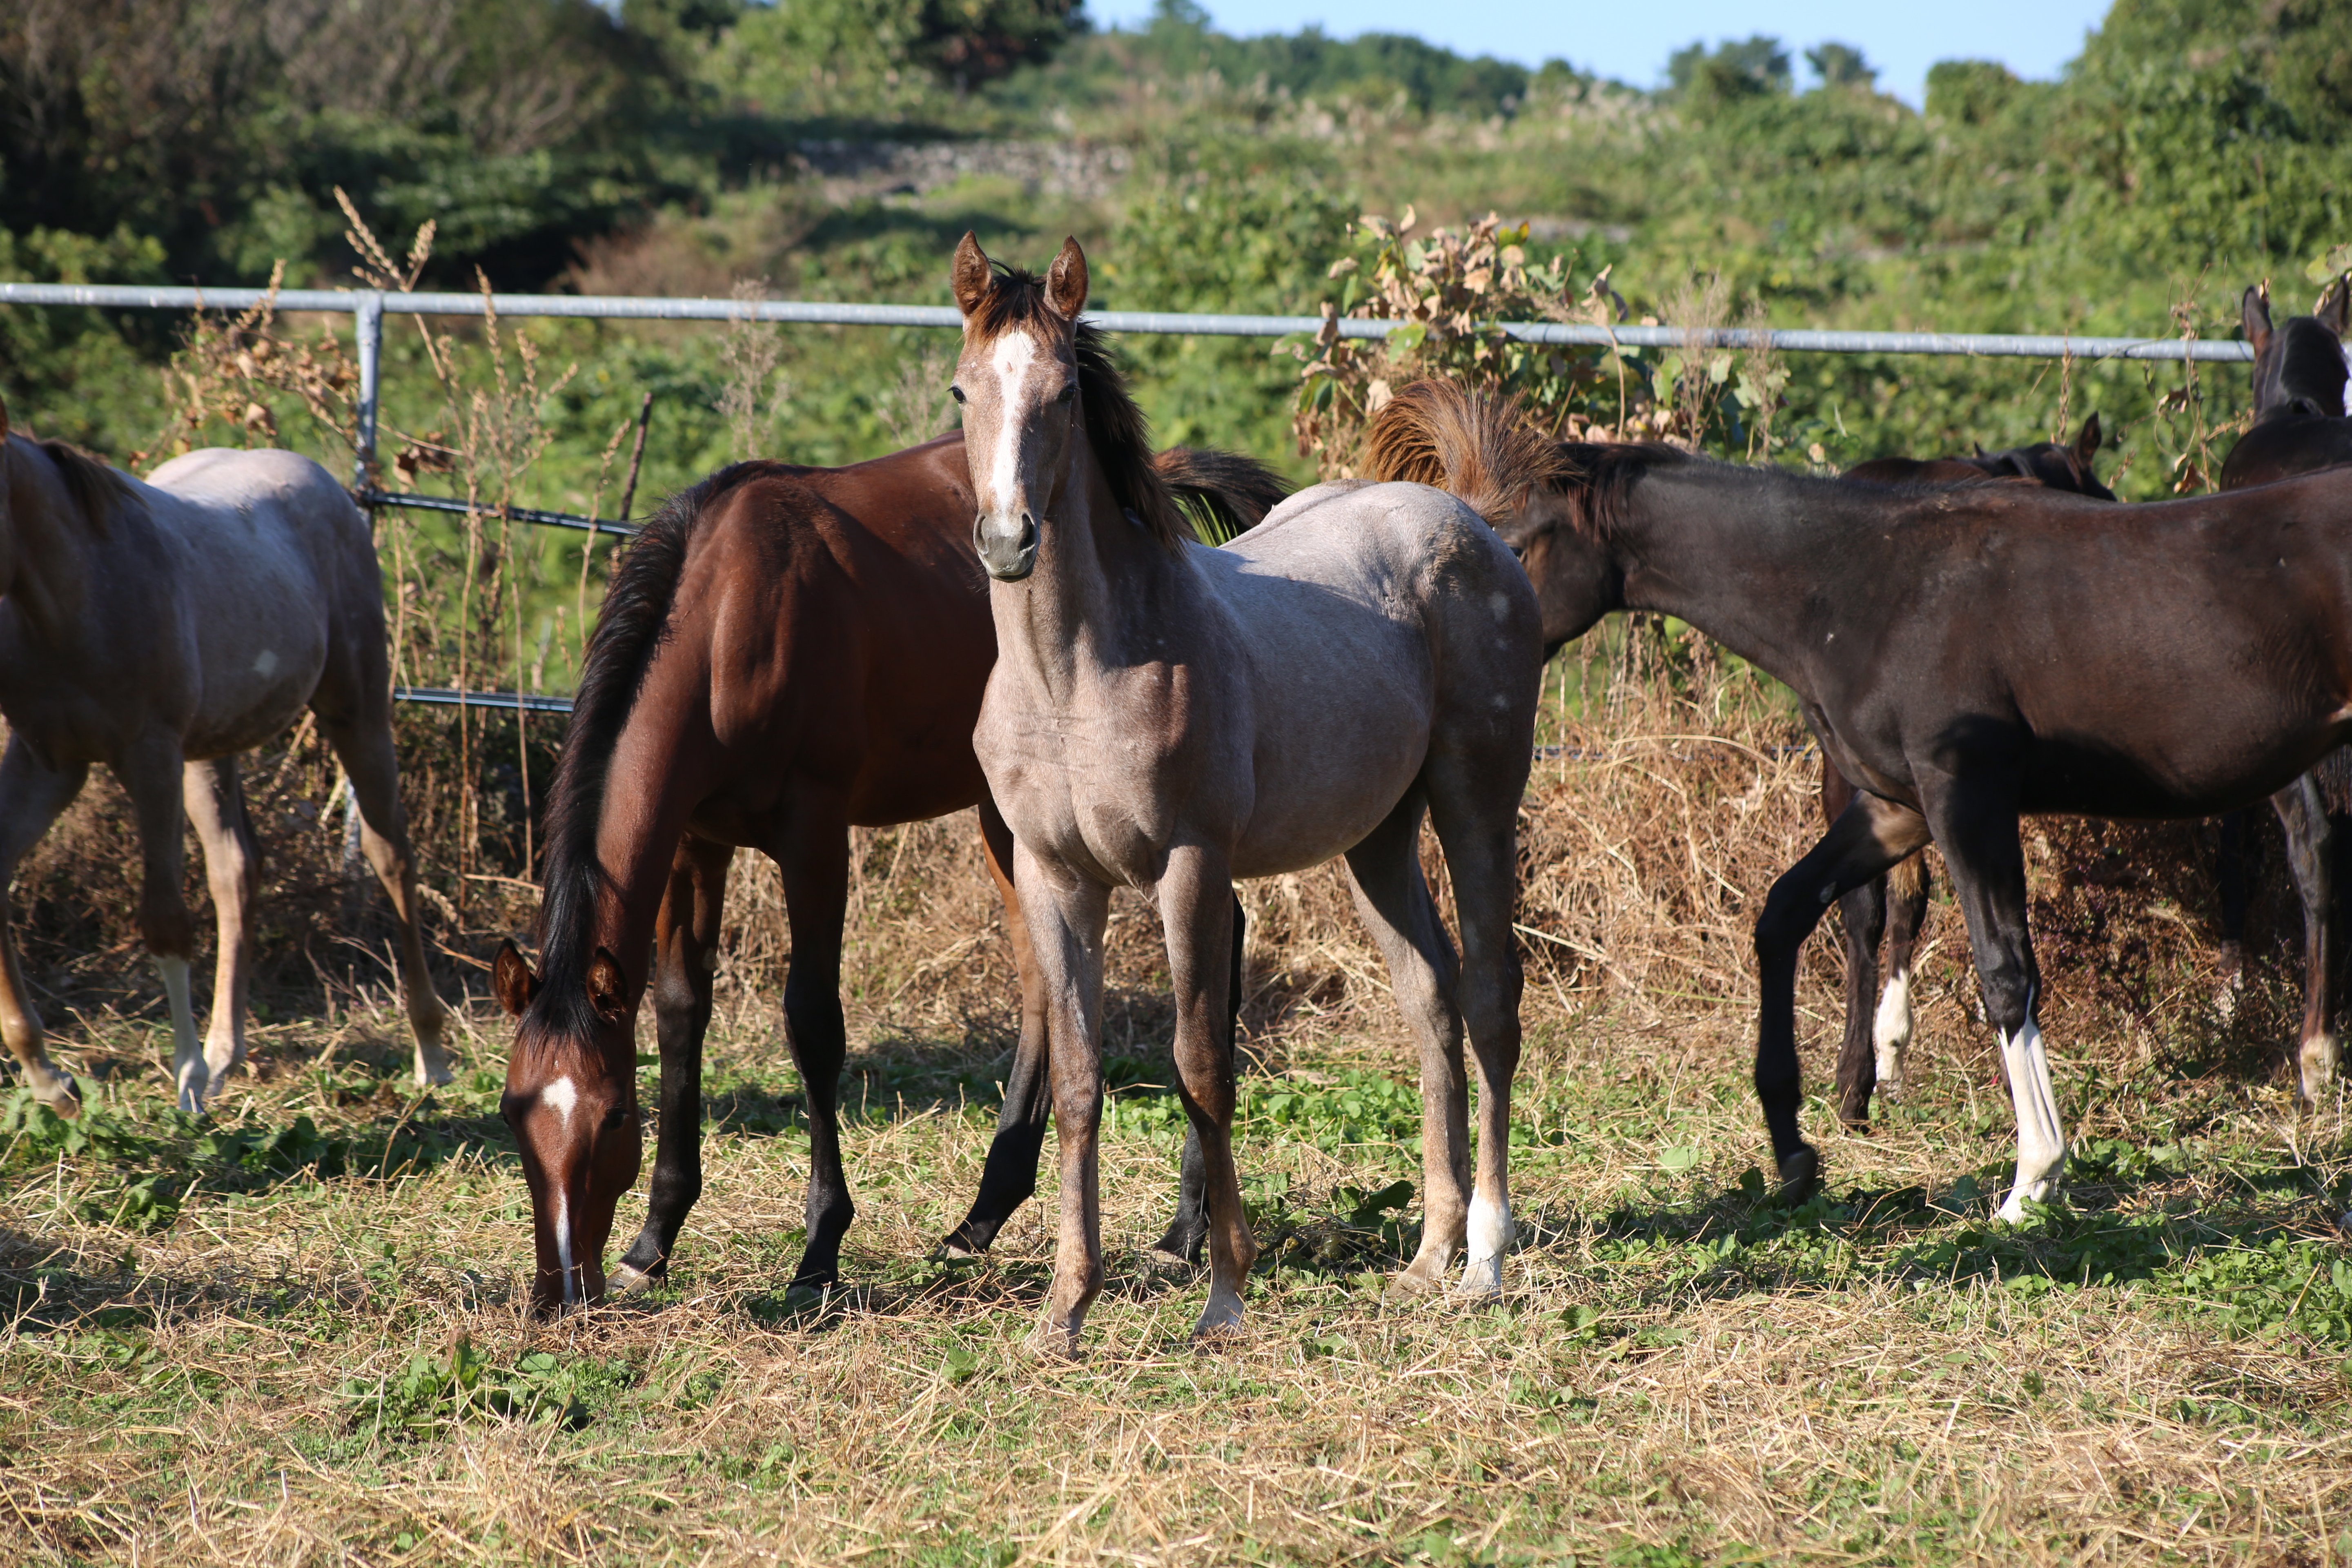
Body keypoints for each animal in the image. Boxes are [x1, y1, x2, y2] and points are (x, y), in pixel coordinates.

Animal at [0, 404, 449, 1114]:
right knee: (236, 868)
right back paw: (222, 1055)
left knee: (389, 853)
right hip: (209, 752)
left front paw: (184, 1082)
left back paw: (430, 1054)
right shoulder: (48, 761)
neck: (75, 593)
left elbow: (164, 919)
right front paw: (50, 1079)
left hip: (355, 709)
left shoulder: (148, 755)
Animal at [484, 425, 1279, 1316]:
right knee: (1046, 981)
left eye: (615, 1118)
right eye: (514, 1115)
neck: (728, 618)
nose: (560, 1291)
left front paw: (820, 1249)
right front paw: (654, 1240)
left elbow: (813, 1025)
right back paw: (983, 1217)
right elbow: (682, 1012)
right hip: (1008, 815)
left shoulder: (815, 833)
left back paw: (1185, 1229)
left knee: (1213, 945)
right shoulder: (694, 842)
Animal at [945, 236, 1552, 1363]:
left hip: (1476, 798)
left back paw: (1483, 1263)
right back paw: (1426, 1255)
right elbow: (1080, 1081)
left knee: (1492, 999)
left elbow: (1200, 1066)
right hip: (1377, 840)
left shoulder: (1190, 869)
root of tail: (1467, 518)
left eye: (1061, 393)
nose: (1007, 541)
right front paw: (1064, 1311)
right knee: (1429, 998)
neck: (1076, 678)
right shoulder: (1056, 878)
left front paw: (1223, 1294)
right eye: (963, 389)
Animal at [1373, 385, 2352, 1222]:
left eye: (1517, 541)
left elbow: (2004, 970)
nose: (1469, 648)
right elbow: (1788, 915)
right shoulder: (1893, 807)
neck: (1865, 585)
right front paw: (1795, 1143)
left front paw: (2032, 1180)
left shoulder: (1965, 796)